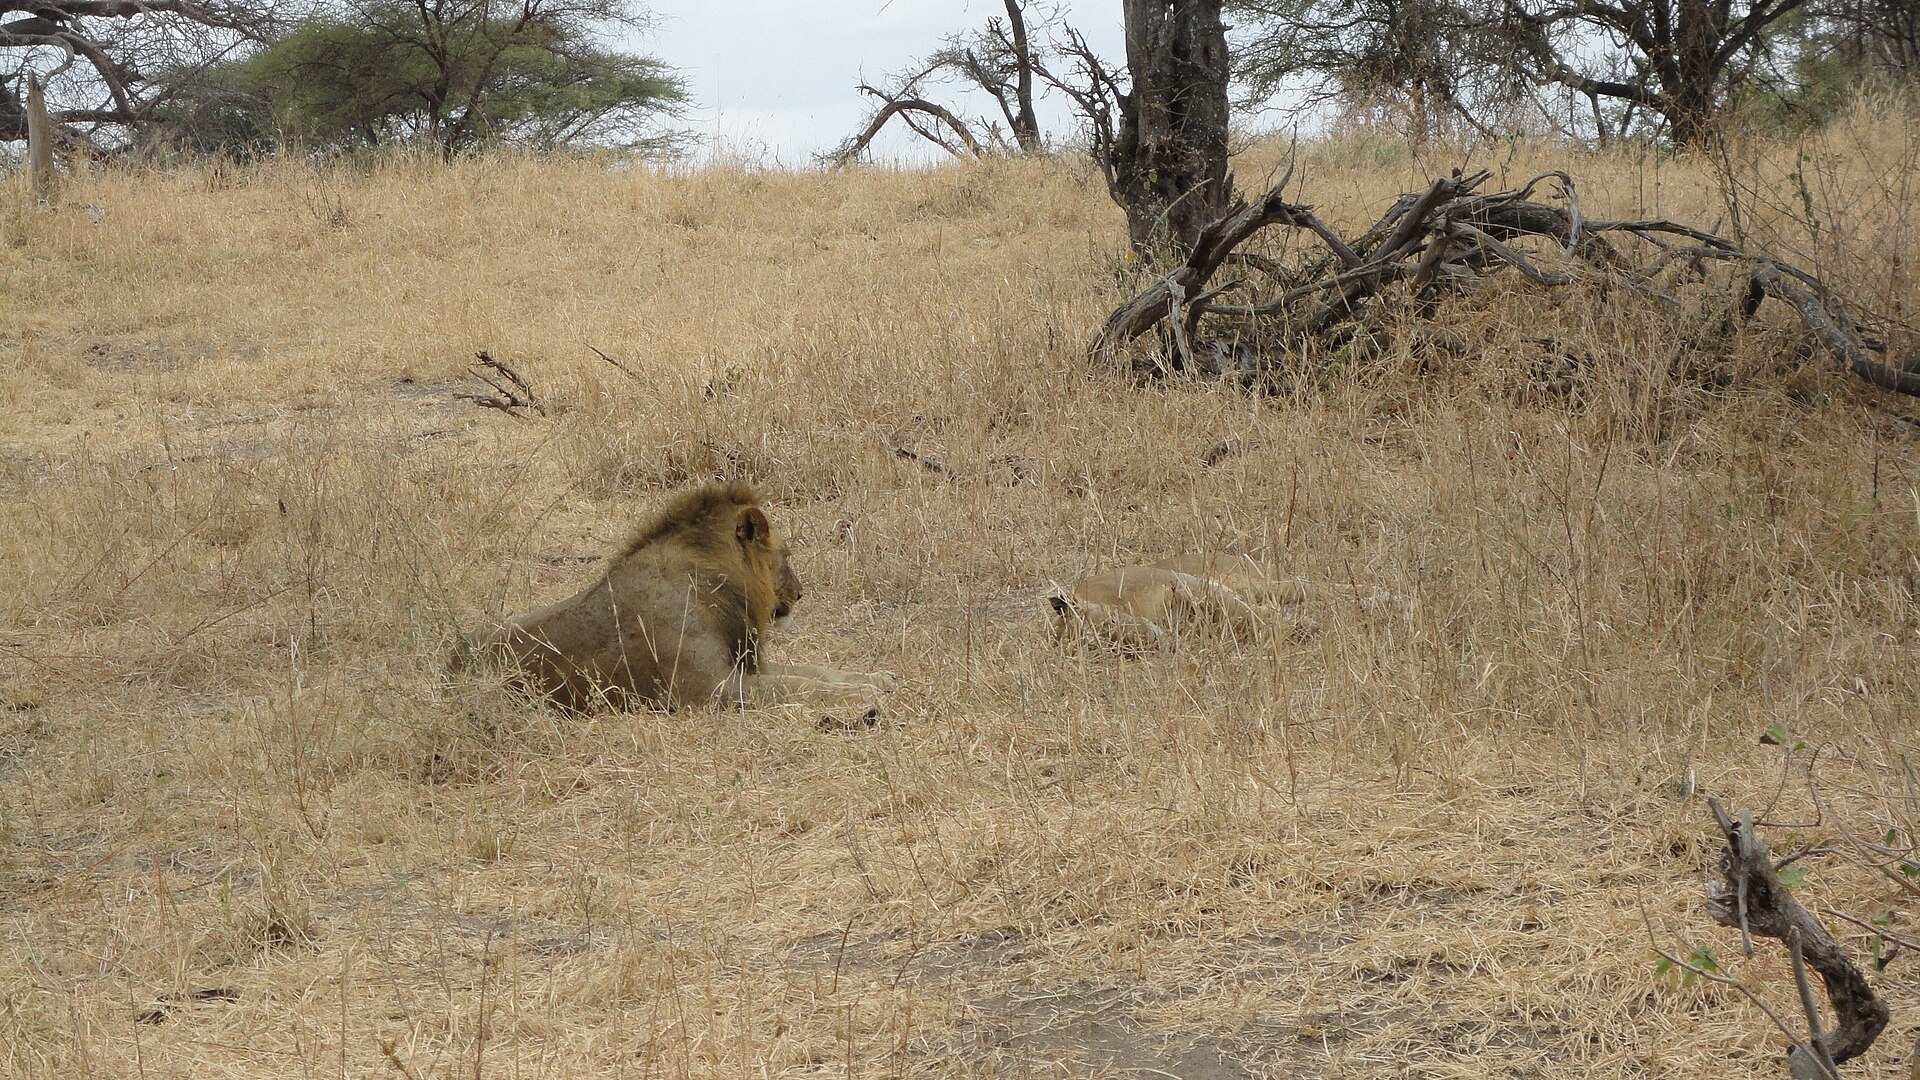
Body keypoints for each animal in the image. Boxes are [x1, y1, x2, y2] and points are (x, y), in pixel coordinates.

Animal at [455, 482, 894, 715]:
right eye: (785, 555)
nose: (800, 594)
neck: (714, 584)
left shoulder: (743, 666)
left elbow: (816, 671)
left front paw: (876, 678)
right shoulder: (710, 689)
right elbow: (796, 686)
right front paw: (862, 697)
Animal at [1045, 552, 1412, 651]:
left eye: (1107, 628)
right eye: (1111, 648)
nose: (1155, 643)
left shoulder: (1182, 582)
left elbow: (1250, 614)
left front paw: (1297, 626)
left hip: (1254, 579)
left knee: (1314, 587)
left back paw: (1393, 597)